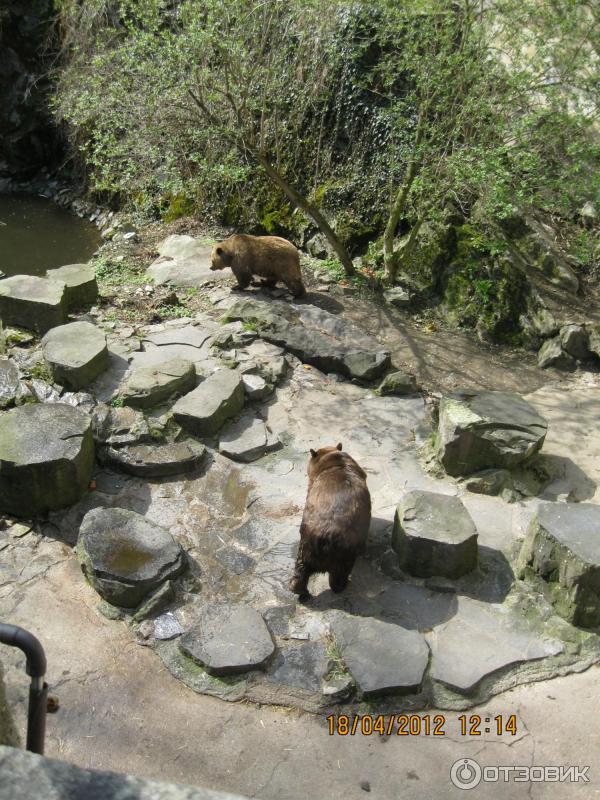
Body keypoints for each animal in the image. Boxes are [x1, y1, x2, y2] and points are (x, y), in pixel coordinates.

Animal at [290, 444, 370, 600]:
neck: (333, 463)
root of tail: (325, 539)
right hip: (344, 548)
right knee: (340, 572)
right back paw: (342, 585)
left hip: (306, 542)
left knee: (301, 567)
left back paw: (299, 589)